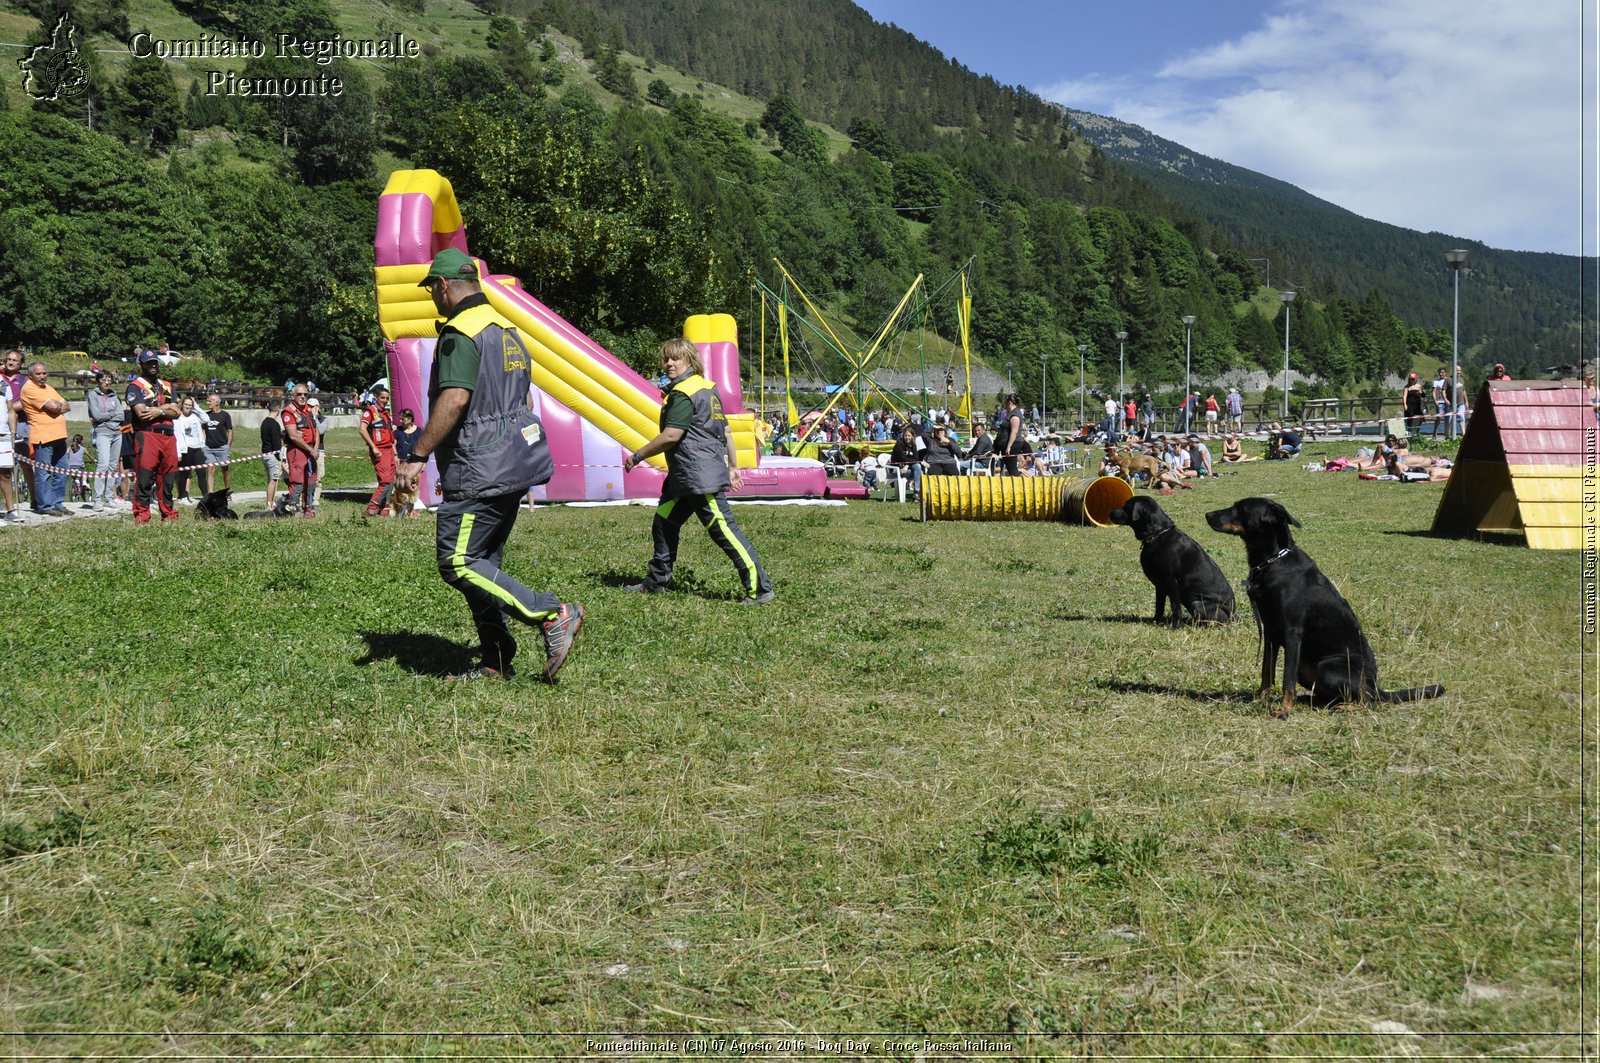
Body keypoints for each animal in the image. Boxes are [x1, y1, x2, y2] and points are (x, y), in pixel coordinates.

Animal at [1203, 496, 1446, 714]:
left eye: (1239, 508)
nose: (1207, 514)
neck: (1273, 561)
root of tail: (1378, 687)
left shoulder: (1292, 633)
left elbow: (1286, 679)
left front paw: (1283, 710)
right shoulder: (1271, 632)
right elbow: (1267, 673)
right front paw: (1262, 702)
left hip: (1328, 667)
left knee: (1368, 701)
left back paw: (1345, 707)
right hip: (1308, 668)